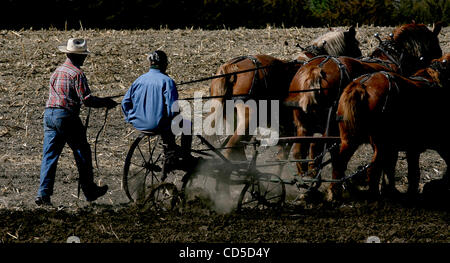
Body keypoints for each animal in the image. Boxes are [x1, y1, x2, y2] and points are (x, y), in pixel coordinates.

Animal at [284, 23, 442, 175]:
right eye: (435, 43)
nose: (439, 58)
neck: (390, 60)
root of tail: (315, 71)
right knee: (316, 148)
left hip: (304, 125)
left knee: (300, 151)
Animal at [330, 54, 450, 201]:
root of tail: (361, 85)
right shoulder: (415, 147)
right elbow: (413, 173)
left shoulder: (398, 147)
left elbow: (390, 167)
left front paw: (390, 190)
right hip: (380, 145)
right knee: (373, 170)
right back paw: (374, 196)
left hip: (349, 140)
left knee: (339, 165)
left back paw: (334, 193)